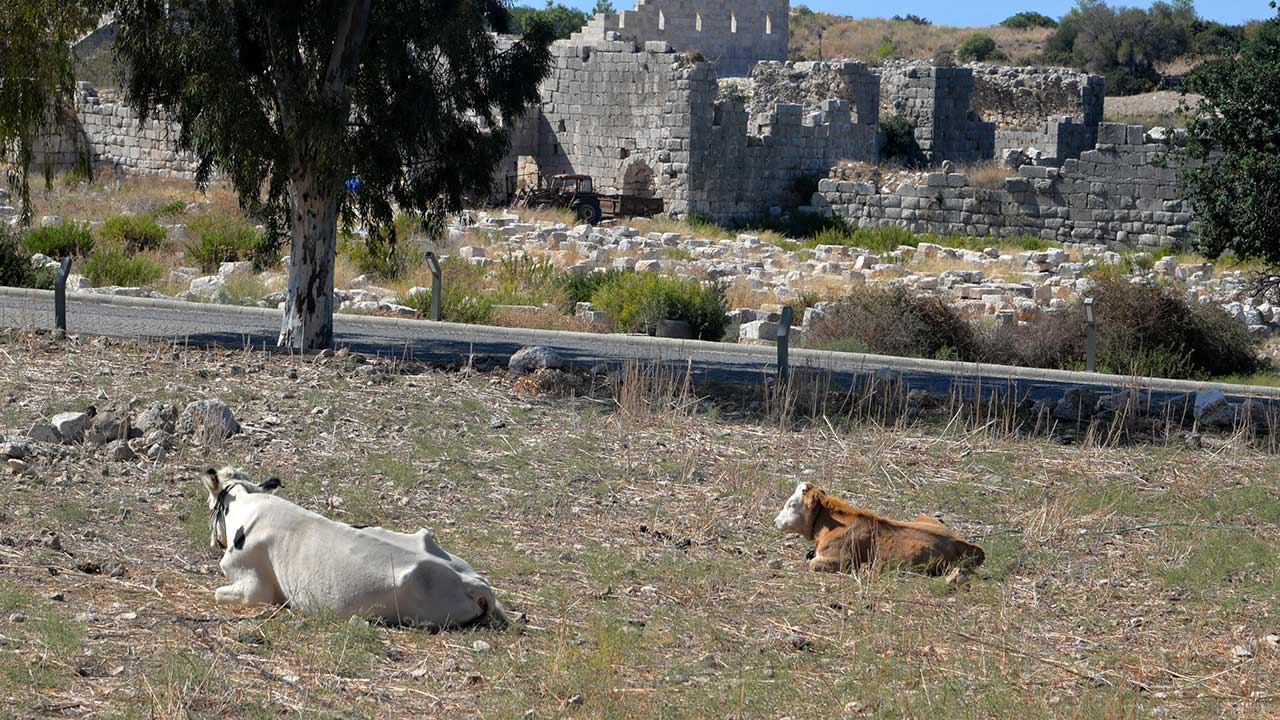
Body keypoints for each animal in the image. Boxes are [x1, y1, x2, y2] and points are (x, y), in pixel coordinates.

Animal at [768, 479, 988, 573]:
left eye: (791, 504)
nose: (775, 521)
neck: (828, 526)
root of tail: (963, 542)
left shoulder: (844, 561)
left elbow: (812, 563)